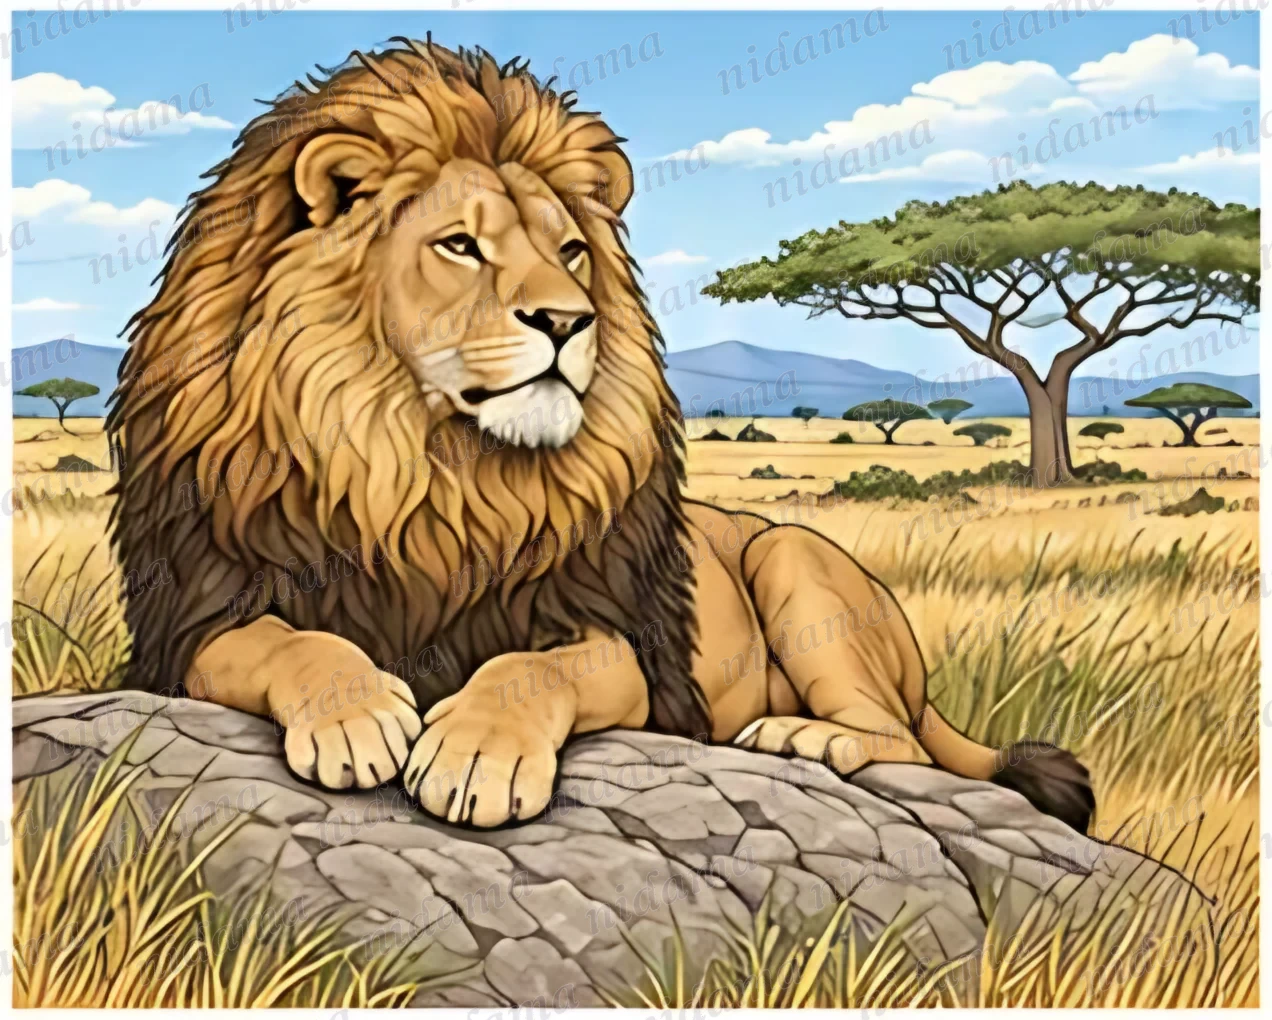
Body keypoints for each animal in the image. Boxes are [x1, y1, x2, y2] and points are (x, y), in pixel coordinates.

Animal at [108, 40, 1093, 831]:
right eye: (460, 245)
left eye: (571, 251)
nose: (567, 319)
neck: (426, 469)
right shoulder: (189, 618)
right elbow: (286, 640)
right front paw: (357, 718)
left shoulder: (629, 646)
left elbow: (531, 670)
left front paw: (477, 756)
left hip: (794, 559)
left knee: (903, 743)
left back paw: (798, 738)